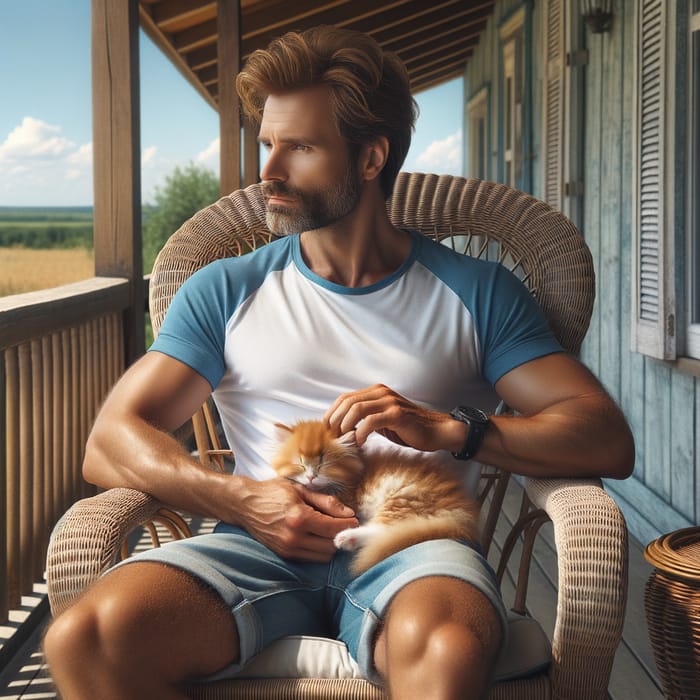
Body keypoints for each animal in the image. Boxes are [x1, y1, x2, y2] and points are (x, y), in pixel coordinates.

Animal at [270, 422, 478, 576]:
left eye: (323, 465)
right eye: (301, 464)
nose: (311, 477)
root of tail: (460, 508)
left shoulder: (347, 500)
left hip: (403, 496)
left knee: (386, 529)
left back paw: (347, 538)